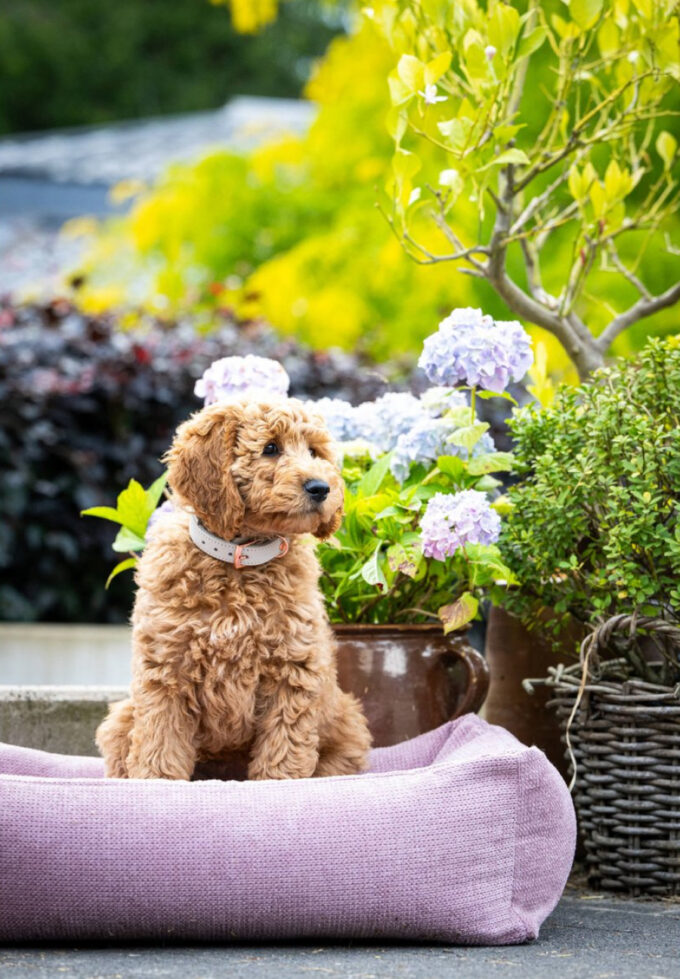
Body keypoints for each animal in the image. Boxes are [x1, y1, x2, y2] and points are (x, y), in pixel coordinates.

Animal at [94, 396, 372, 780]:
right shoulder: (166, 668)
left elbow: (284, 748)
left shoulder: (293, 669)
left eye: (314, 451)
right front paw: (157, 782)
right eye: (270, 448)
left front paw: (278, 783)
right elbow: (160, 743)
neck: (239, 559)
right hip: (122, 717)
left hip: (348, 724)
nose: (321, 487)